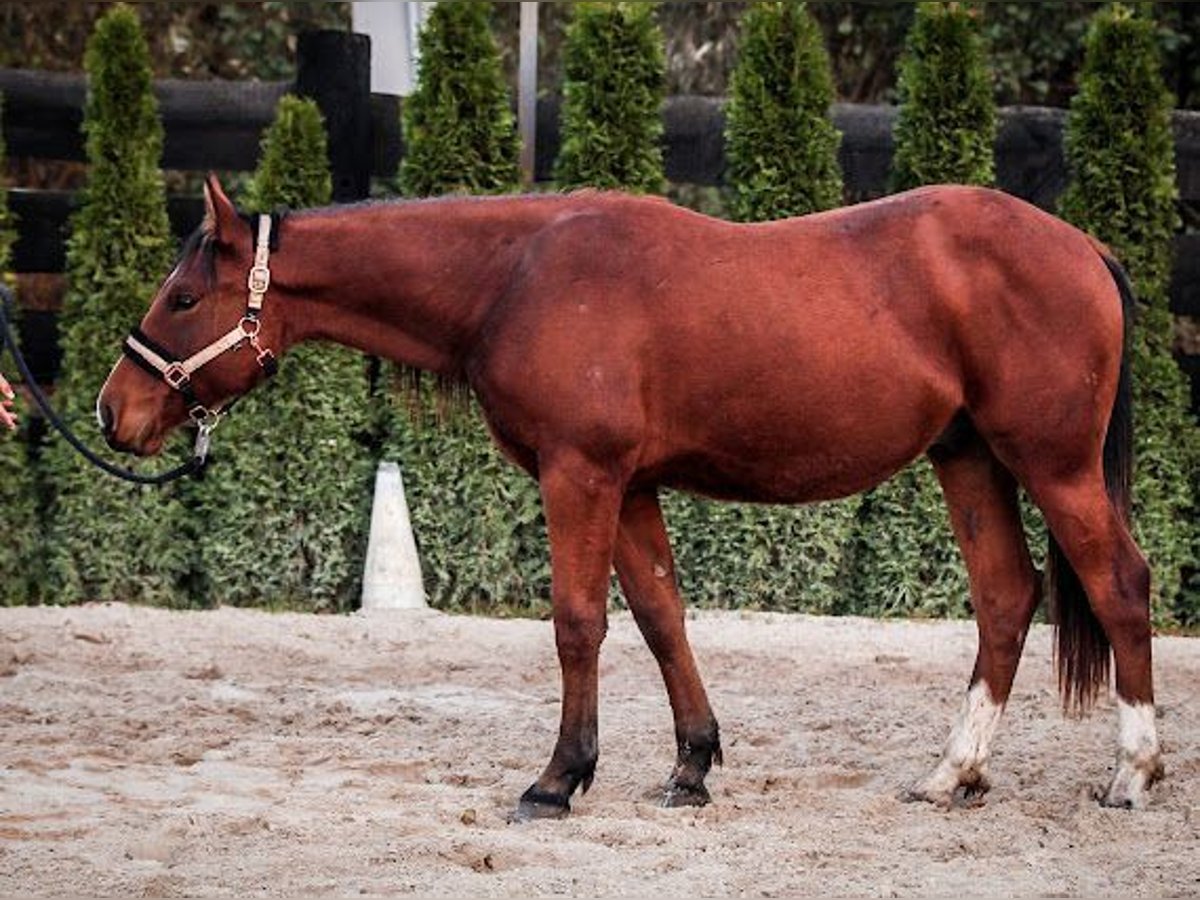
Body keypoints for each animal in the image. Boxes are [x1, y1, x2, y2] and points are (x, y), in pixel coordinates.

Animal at [100, 174, 1161, 816]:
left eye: (183, 297)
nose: (116, 411)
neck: (515, 276)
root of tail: (1086, 249)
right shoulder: (634, 486)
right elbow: (660, 616)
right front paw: (691, 766)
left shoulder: (582, 474)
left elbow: (578, 622)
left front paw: (558, 778)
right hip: (970, 459)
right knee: (1006, 598)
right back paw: (952, 774)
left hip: (1053, 465)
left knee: (1120, 585)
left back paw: (1133, 772)